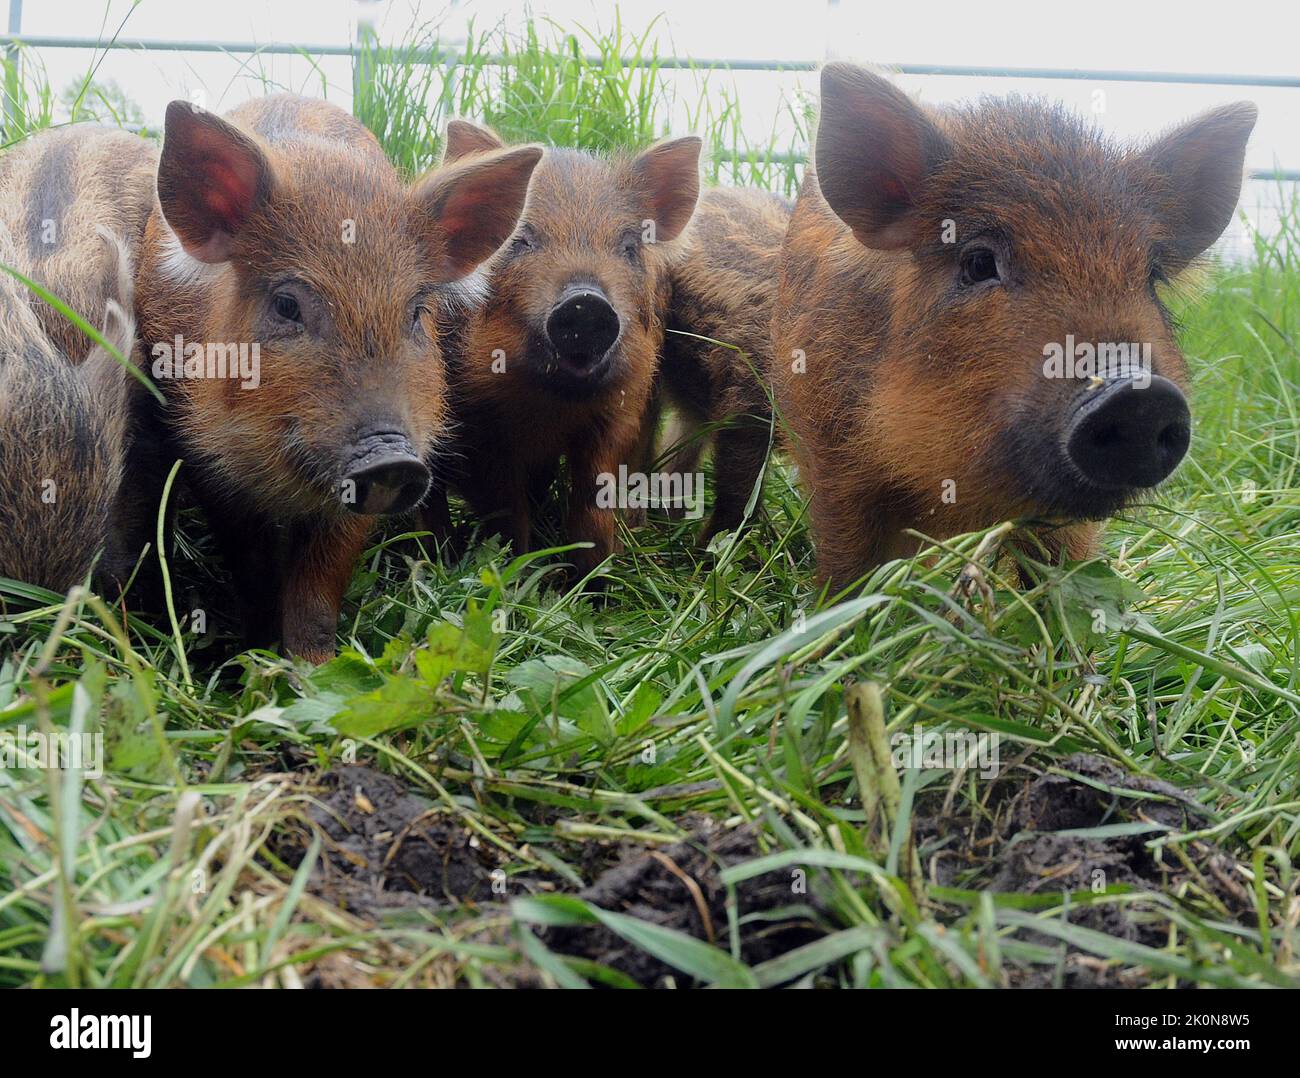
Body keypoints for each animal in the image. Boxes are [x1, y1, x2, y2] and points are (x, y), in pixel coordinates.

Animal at [129, 96, 541, 661]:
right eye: (286, 304)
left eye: (416, 311)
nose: (389, 455)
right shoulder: (206, 463)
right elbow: (252, 572)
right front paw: (254, 660)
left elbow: (318, 591)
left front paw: (314, 667)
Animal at [419, 120, 701, 584]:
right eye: (520, 240)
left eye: (628, 246)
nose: (585, 303)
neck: (553, 405)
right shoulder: (478, 430)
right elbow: (505, 511)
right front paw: (517, 577)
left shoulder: (618, 415)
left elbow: (593, 501)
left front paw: (593, 583)